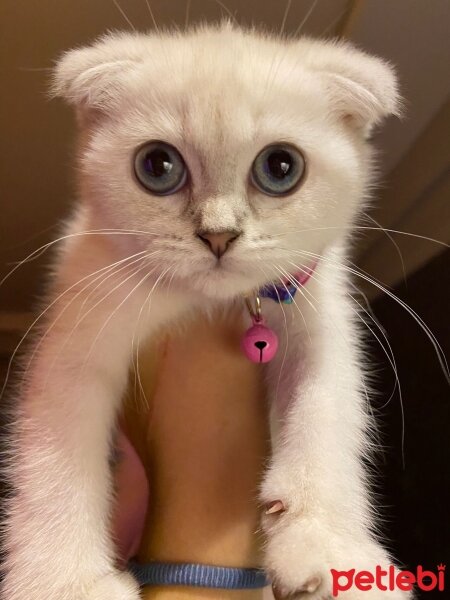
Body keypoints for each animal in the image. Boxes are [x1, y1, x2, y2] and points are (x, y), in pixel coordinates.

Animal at [1, 22, 408, 600]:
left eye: (280, 167)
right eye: (157, 166)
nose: (218, 235)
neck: (210, 303)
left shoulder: (320, 304)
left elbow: (328, 408)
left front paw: (329, 548)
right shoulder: (82, 312)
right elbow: (55, 456)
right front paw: (64, 583)